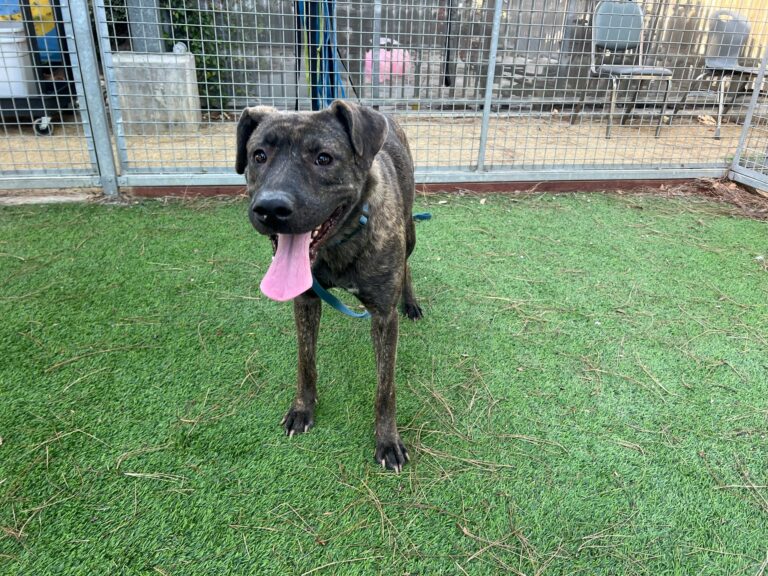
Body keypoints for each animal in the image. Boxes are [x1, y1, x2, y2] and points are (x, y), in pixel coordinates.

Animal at [237, 100, 424, 472]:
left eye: (324, 158)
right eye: (259, 155)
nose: (270, 209)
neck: (339, 244)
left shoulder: (384, 317)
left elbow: (386, 388)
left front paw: (387, 441)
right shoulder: (306, 301)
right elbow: (305, 362)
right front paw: (302, 409)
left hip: (410, 228)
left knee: (408, 263)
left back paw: (410, 301)